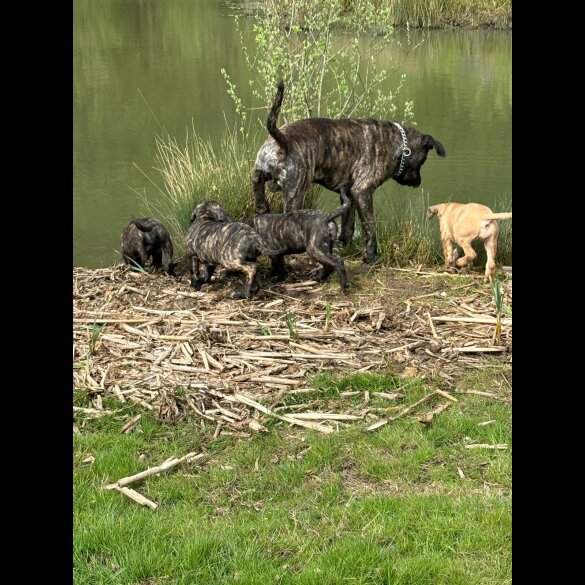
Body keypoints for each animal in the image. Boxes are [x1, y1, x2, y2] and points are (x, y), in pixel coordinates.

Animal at [252, 81, 448, 264]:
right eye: (422, 162)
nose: (418, 182)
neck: (397, 142)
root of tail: (282, 140)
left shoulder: (349, 196)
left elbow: (348, 225)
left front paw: (345, 246)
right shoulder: (362, 191)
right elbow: (370, 227)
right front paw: (370, 256)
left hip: (263, 171)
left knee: (257, 183)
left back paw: (261, 207)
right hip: (295, 194)